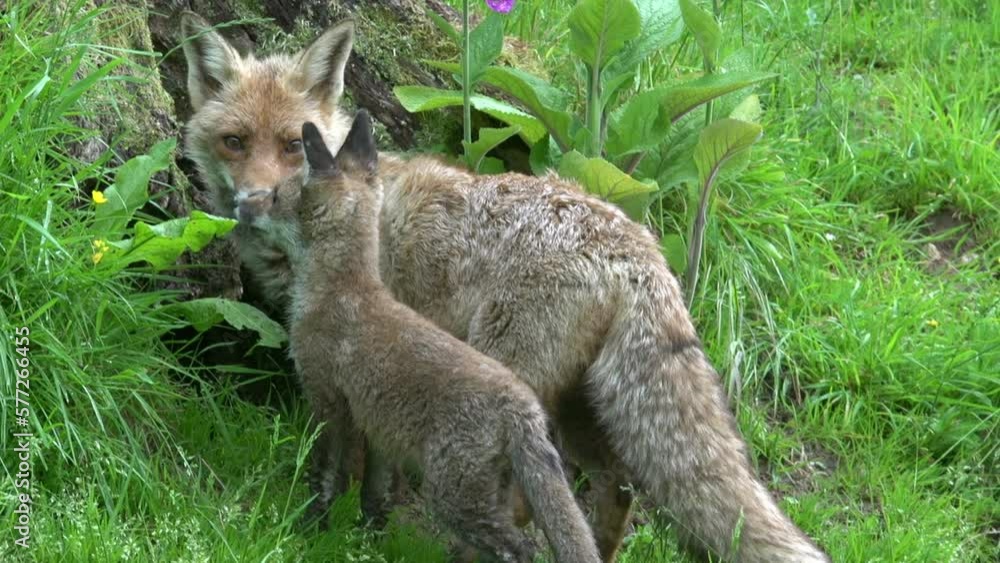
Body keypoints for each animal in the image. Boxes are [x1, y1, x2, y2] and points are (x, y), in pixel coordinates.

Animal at [180, 11, 830, 563]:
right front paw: (368, 526)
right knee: (613, 489)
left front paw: (338, 525)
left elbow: (353, 458)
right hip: (576, 407)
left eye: (294, 145)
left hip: (509, 381)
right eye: (234, 142)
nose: (248, 203)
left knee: (522, 507)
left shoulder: (353, 376)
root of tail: (638, 247)